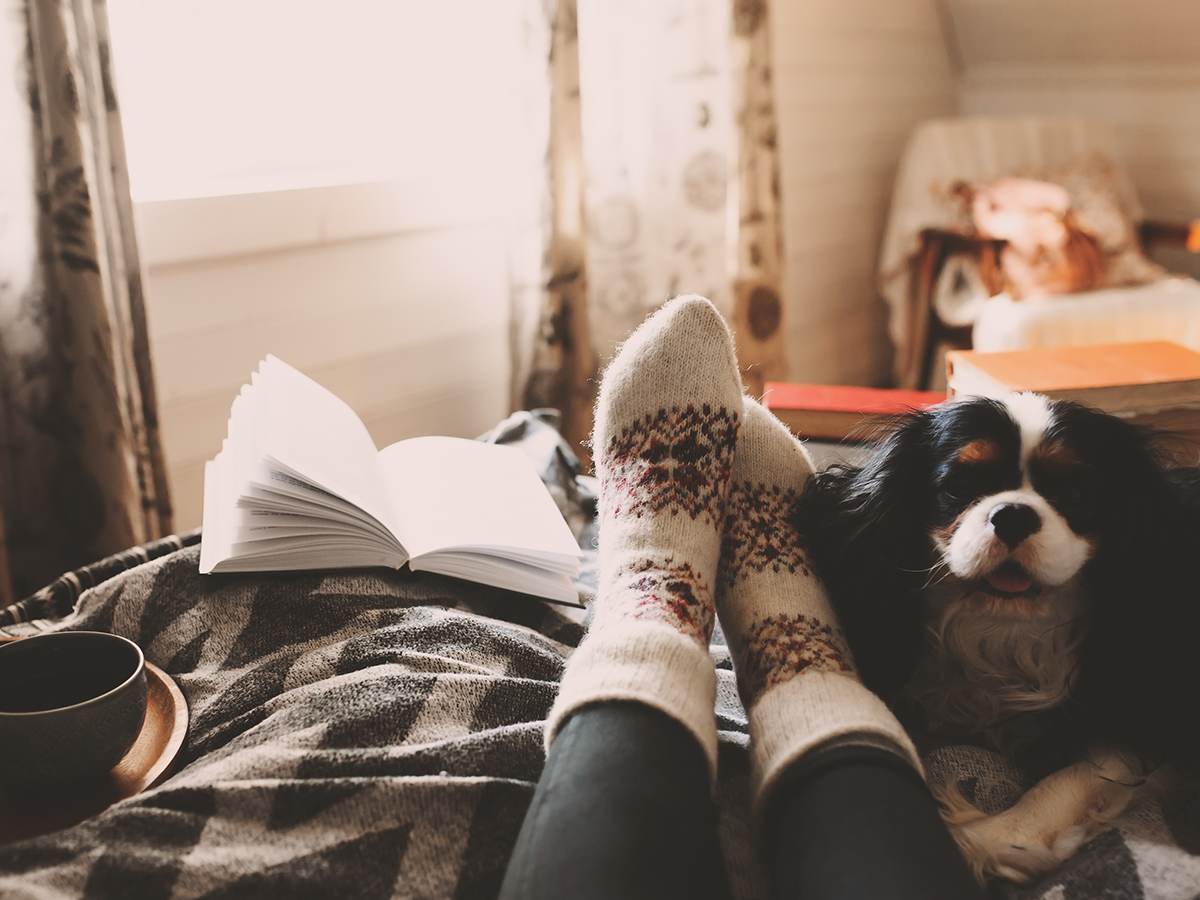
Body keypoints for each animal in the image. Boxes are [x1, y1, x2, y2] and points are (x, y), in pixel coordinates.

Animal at [796, 396, 1200, 888]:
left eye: (1076, 496)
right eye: (958, 487)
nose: (1013, 514)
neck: (1005, 630)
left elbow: (1087, 773)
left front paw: (995, 836)